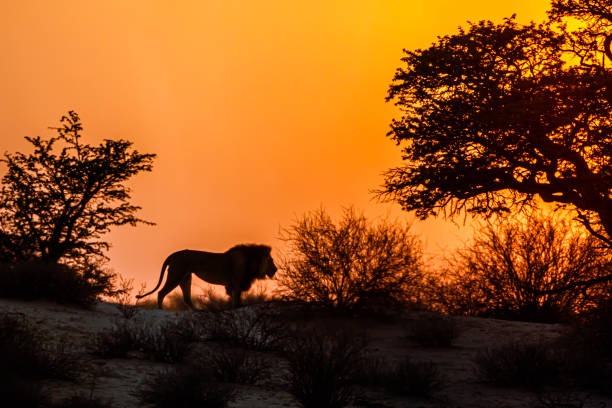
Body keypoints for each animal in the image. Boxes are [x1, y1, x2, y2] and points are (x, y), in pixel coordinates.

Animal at [137, 245, 278, 310]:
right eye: (271, 260)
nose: (276, 269)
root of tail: (175, 253)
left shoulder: (232, 285)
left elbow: (234, 300)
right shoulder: (237, 282)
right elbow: (237, 301)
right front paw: (237, 308)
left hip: (186, 277)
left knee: (187, 298)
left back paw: (198, 311)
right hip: (176, 275)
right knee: (161, 292)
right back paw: (161, 309)